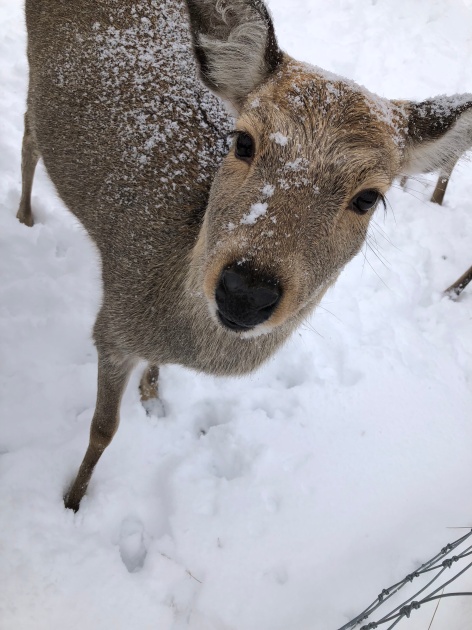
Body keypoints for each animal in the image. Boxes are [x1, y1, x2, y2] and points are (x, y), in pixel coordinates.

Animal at [17, 0, 472, 512]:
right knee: (27, 135)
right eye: (243, 142)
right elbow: (102, 430)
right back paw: (24, 216)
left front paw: (152, 392)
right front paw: (72, 501)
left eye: (369, 197)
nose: (246, 291)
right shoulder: (113, 322)